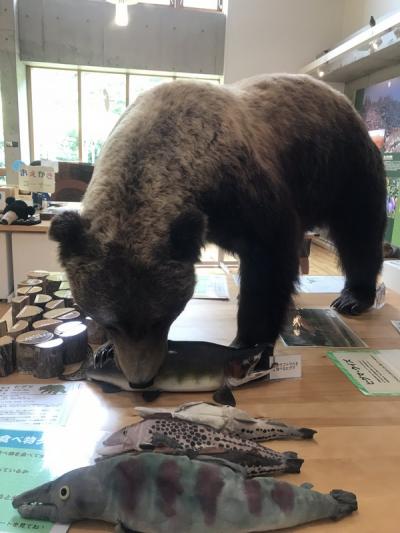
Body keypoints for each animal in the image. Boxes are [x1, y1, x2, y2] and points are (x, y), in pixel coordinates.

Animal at [48, 72, 386, 386]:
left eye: (160, 319)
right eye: (110, 322)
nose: (140, 378)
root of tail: (343, 100)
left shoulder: (248, 200)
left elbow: (268, 266)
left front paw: (248, 342)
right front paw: (105, 350)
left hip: (345, 170)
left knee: (360, 233)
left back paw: (353, 297)